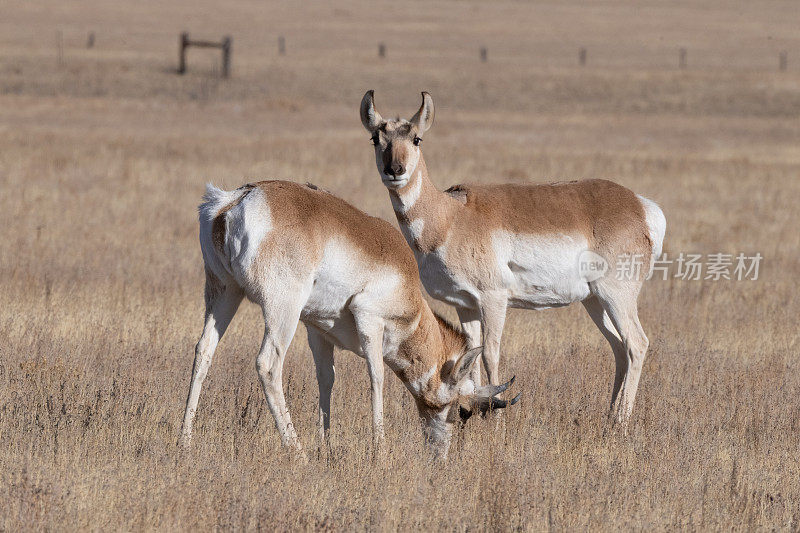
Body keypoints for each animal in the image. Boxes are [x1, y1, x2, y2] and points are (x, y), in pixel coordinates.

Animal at [180, 180, 520, 458]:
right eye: (462, 410)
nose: (440, 458)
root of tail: (235, 200)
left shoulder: (316, 330)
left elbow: (326, 379)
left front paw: (326, 445)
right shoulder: (370, 321)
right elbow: (377, 377)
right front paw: (379, 449)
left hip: (224, 293)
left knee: (203, 351)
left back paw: (185, 441)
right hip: (281, 309)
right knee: (267, 364)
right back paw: (297, 452)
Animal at [360, 91, 664, 424]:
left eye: (417, 138)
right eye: (376, 138)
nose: (395, 170)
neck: (450, 215)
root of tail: (639, 205)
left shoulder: (493, 298)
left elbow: (490, 353)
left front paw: (496, 419)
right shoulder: (465, 305)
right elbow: (471, 353)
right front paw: (471, 412)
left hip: (616, 295)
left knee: (636, 344)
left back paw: (621, 421)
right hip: (595, 300)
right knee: (620, 348)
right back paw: (610, 417)